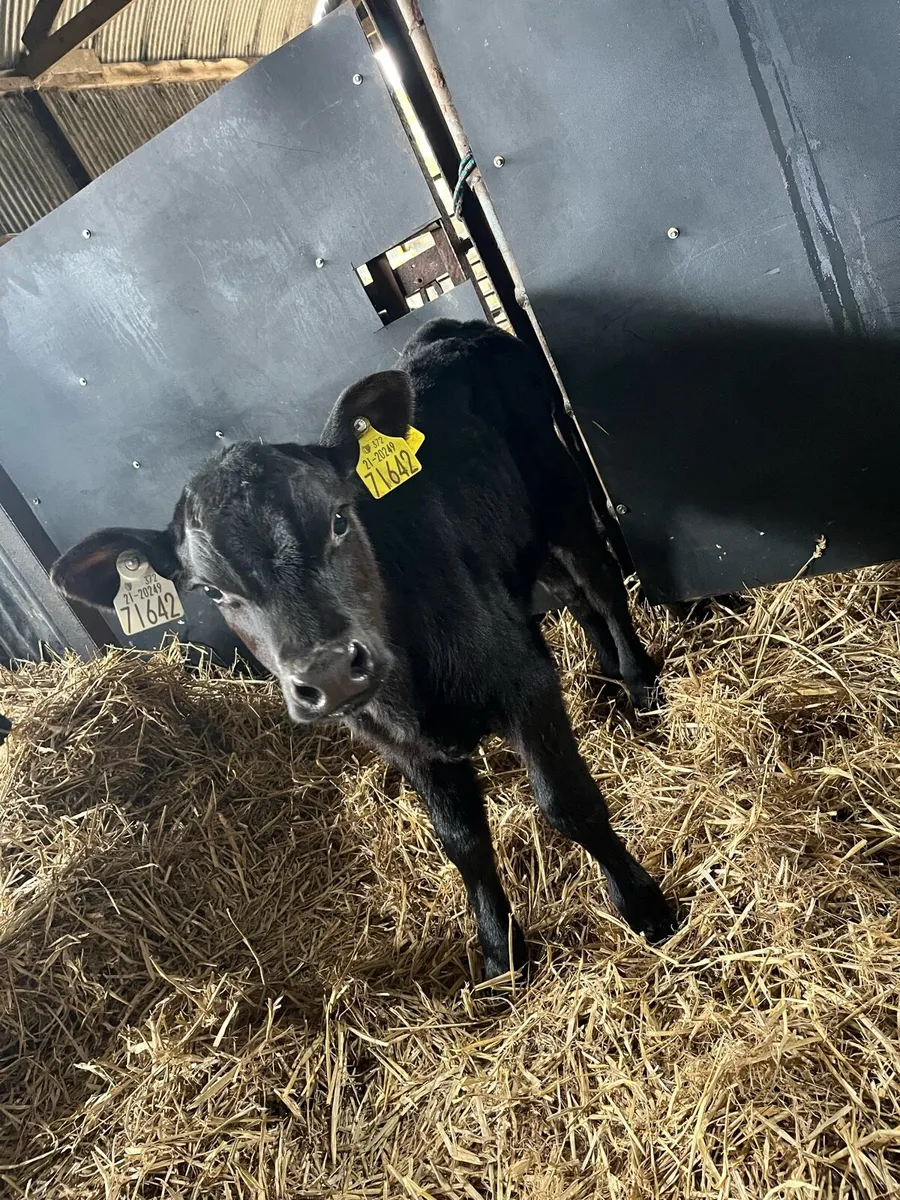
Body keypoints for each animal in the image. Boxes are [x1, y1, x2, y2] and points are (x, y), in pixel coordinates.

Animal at [51, 318, 677, 981]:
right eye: (212, 591)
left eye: (339, 519)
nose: (329, 673)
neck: (413, 694)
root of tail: (456, 329)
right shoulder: (400, 744)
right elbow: (462, 842)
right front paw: (498, 952)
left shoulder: (521, 685)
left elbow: (566, 803)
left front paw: (643, 905)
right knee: (573, 596)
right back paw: (604, 673)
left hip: (561, 495)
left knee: (601, 583)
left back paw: (638, 681)